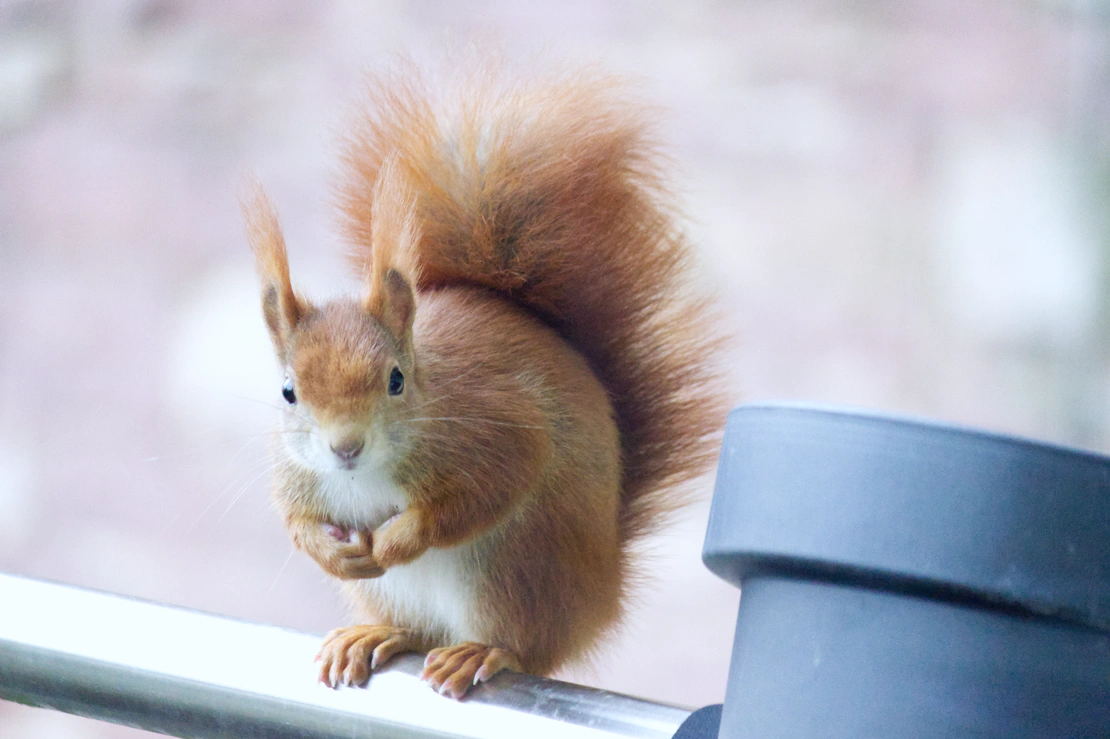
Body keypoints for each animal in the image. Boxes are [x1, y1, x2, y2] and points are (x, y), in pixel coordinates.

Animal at [243, 61, 728, 696]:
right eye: (288, 392)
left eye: (396, 380)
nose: (345, 448)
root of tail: (602, 598)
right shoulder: (295, 475)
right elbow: (295, 520)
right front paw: (327, 551)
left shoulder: (495, 428)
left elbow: (492, 486)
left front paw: (401, 536)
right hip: (401, 591)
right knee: (418, 629)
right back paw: (375, 635)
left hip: (512, 566)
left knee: (523, 644)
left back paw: (480, 651)